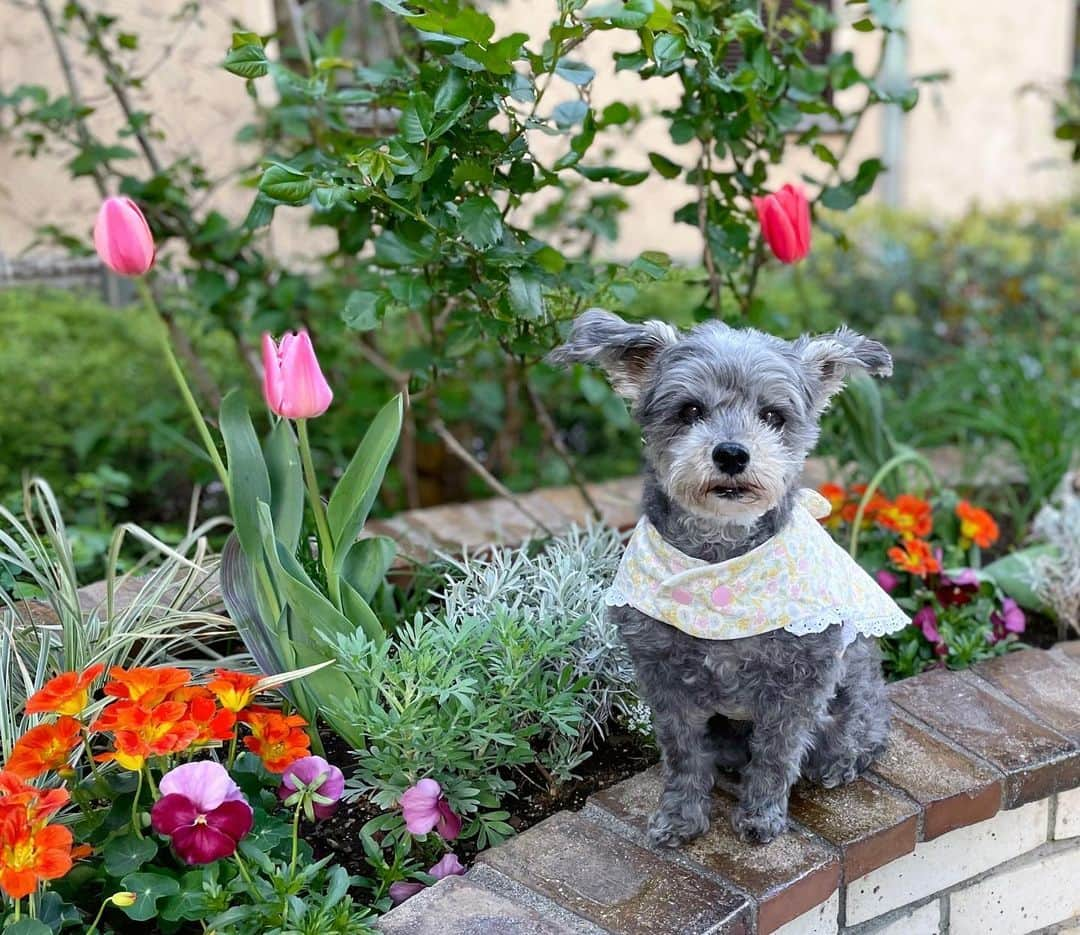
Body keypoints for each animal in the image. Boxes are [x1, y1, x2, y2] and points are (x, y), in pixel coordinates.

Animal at [548, 308, 894, 846]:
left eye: (773, 416)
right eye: (690, 410)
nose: (731, 453)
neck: (719, 561)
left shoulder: (802, 680)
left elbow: (777, 754)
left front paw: (761, 817)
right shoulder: (664, 679)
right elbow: (684, 755)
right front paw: (681, 817)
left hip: (853, 691)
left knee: (862, 733)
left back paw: (842, 761)